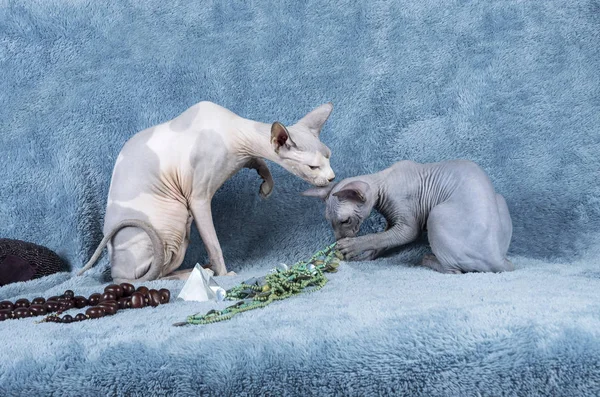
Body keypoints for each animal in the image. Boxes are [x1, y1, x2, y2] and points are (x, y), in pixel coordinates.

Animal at [77, 102, 336, 282]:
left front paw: (266, 185)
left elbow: (259, 161)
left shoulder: (243, 156)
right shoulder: (198, 197)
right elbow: (214, 244)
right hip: (174, 218)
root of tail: (116, 273)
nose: (332, 178)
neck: (234, 131)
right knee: (156, 276)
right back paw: (195, 272)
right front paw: (223, 272)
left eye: (329, 157)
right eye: (313, 167)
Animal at [302, 159, 512, 274]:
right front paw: (367, 256)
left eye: (345, 221)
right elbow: (383, 240)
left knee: (455, 271)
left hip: (435, 215)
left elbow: (380, 237)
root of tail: (496, 258)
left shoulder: (407, 224)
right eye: (330, 222)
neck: (383, 181)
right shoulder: (392, 222)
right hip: (500, 200)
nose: (338, 239)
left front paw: (352, 246)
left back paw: (428, 260)